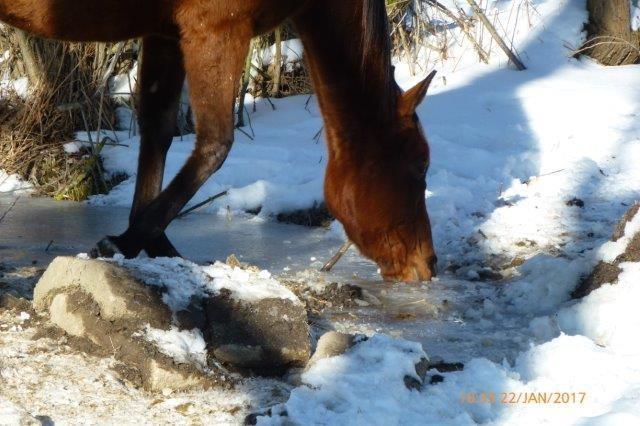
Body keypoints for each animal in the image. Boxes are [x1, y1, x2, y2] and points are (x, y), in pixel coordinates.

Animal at [0, 0, 438, 282]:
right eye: (421, 165)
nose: (428, 263)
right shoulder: (216, 28)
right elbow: (215, 145)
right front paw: (121, 242)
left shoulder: (166, 30)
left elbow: (158, 129)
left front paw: (155, 245)